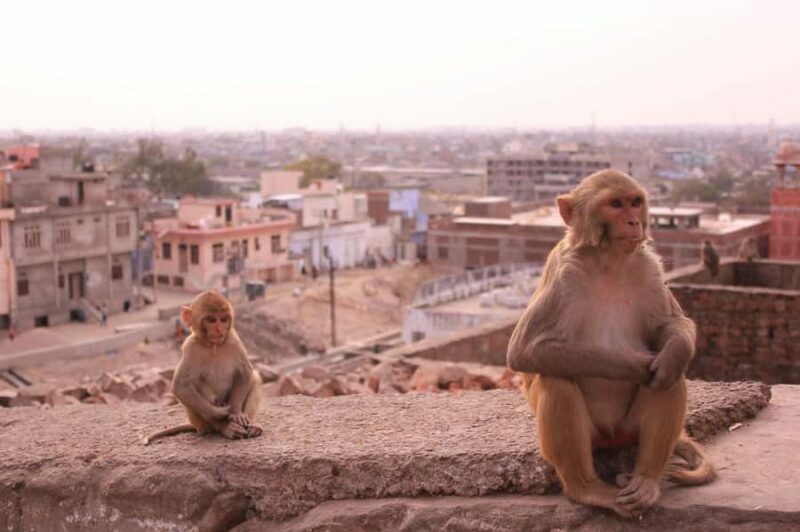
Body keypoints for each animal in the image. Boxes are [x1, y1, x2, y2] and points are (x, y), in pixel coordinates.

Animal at [143, 290, 263, 445]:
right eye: (211, 320)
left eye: (223, 319)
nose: (219, 329)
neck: (214, 346)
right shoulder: (191, 347)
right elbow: (181, 385)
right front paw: (219, 413)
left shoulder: (233, 340)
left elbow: (245, 373)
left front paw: (236, 412)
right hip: (200, 423)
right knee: (193, 385)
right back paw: (226, 427)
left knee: (255, 378)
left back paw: (251, 425)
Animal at [507, 169, 714, 519]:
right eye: (615, 204)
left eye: (635, 202)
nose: (634, 222)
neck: (608, 261)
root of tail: (611, 438)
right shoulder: (563, 273)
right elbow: (525, 351)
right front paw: (636, 364)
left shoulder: (649, 268)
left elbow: (670, 327)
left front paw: (671, 354)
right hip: (593, 437)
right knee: (556, 381)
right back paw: (587, 489)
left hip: (628, 431)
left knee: (671, 379)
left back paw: (646, 480)